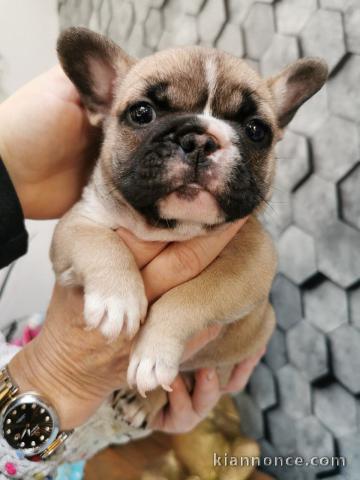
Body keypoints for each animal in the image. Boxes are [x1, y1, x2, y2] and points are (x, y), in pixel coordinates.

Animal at [52, 27, 328, 424]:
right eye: (141, 113)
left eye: (256, 130)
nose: (199, 139)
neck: (167, 226)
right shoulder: (77, 222)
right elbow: (99, 242)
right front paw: (117, 299)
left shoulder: (251, 261)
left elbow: (188, 297)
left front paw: (153, 351)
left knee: (180, 380)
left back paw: (142, 401)